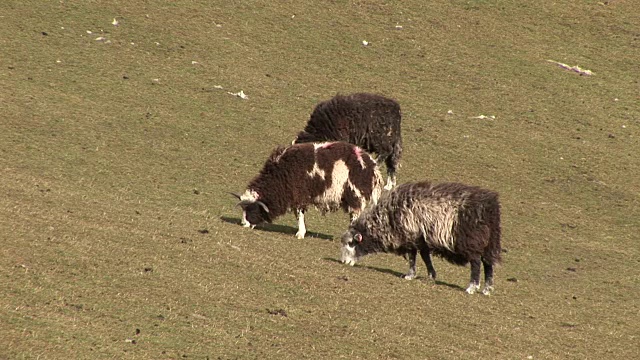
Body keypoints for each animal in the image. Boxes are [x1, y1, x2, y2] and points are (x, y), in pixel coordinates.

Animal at [231, 141, 382, 239]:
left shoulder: (300, 194)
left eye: (252, 210)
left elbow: (299, 214)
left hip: (356, 194)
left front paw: (300, 233)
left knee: (355, 215)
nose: (243, 224)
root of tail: (373, 167)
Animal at [342, 181, 502, 294]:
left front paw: (410, 275)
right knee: (488, 264)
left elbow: (413, 257)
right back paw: (487, 289)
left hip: (471, 240)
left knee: (476, 263)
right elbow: (425, 257)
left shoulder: (410, 236)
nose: (344, 262)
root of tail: (490, 206)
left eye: (350, 243)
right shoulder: (421, 239)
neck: (386, 218)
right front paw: (431, 275)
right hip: (490, 242)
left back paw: (472, 287)